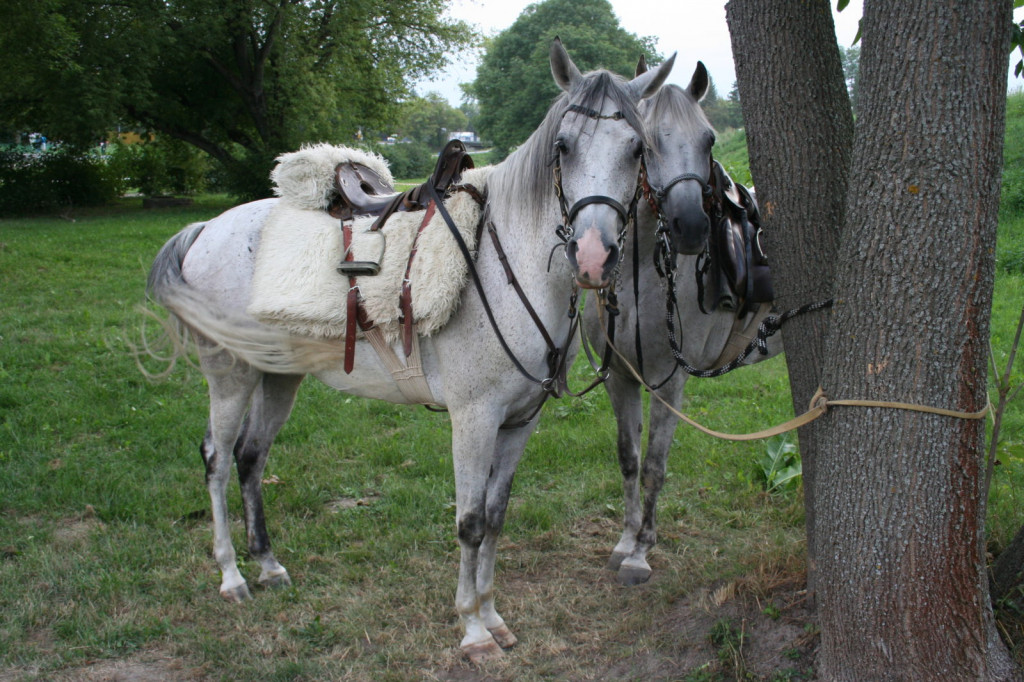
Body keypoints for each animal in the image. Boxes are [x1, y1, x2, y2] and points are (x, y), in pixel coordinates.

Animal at [144, 39, 671, 659]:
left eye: (637, 148)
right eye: (562, 147)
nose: (592, 256)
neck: (504, 264)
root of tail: (206, 228)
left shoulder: (520, 421)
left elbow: (496, 516)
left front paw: (492, 616)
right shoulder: (473, 418)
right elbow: (470, 521)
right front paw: (472, 630)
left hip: (280, 375)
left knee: (251, 458)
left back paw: (269, 566)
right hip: (231, 373)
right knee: (218, 459)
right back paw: (231, 576)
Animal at [585, 61, 782, 585]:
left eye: (709, 138)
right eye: (645, 143)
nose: (692, 227)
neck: (641, 280)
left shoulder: (669, 381)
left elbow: (655, 465)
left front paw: (640, 553)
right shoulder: (619, 377)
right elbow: (628, 458)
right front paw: (624, 541)